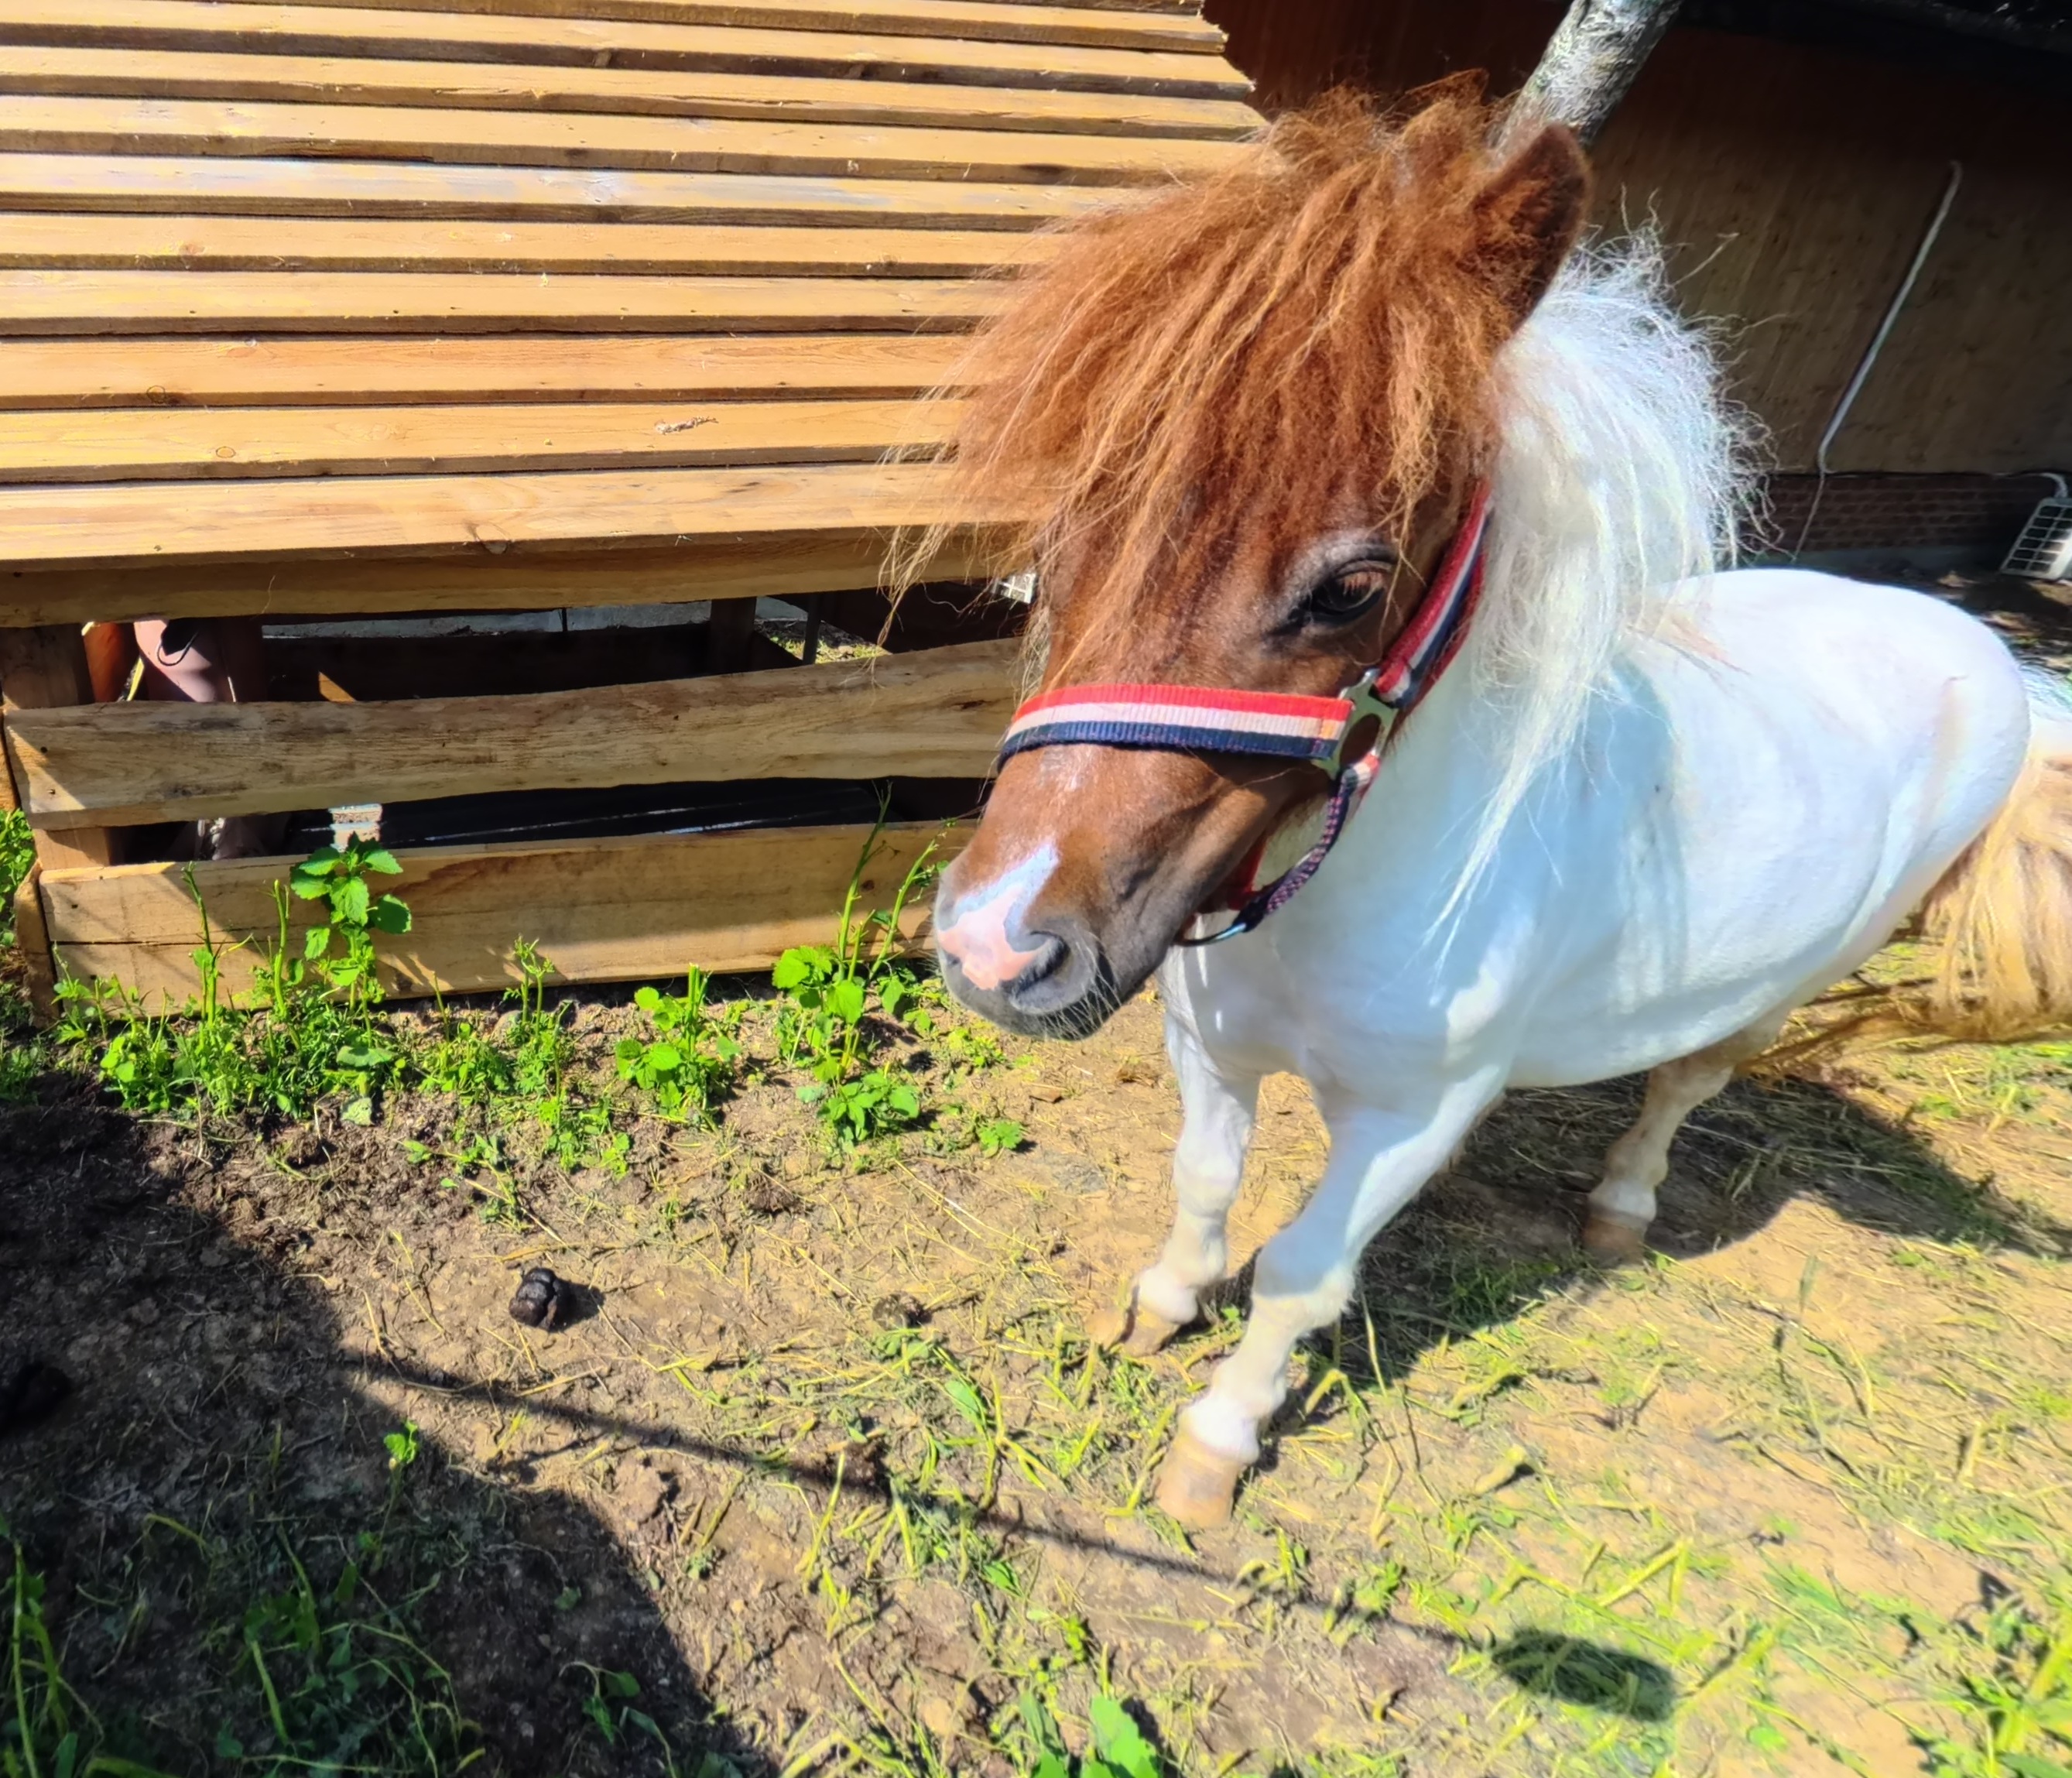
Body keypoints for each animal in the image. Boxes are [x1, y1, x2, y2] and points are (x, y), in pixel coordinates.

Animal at [923, 88, 2072, 1530]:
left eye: (1351, 588)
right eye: (1073, 514)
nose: (996, 947)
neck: (1330, 897)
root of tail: (1985, 646)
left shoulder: (1405, 1121)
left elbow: (1300, 1272)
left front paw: (1217, 1441)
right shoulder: (1212, 1050)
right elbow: (1203, 1186)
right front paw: (1160, 1306)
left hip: (1794, 982)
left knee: (1684, 1082)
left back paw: (1621, 1208)